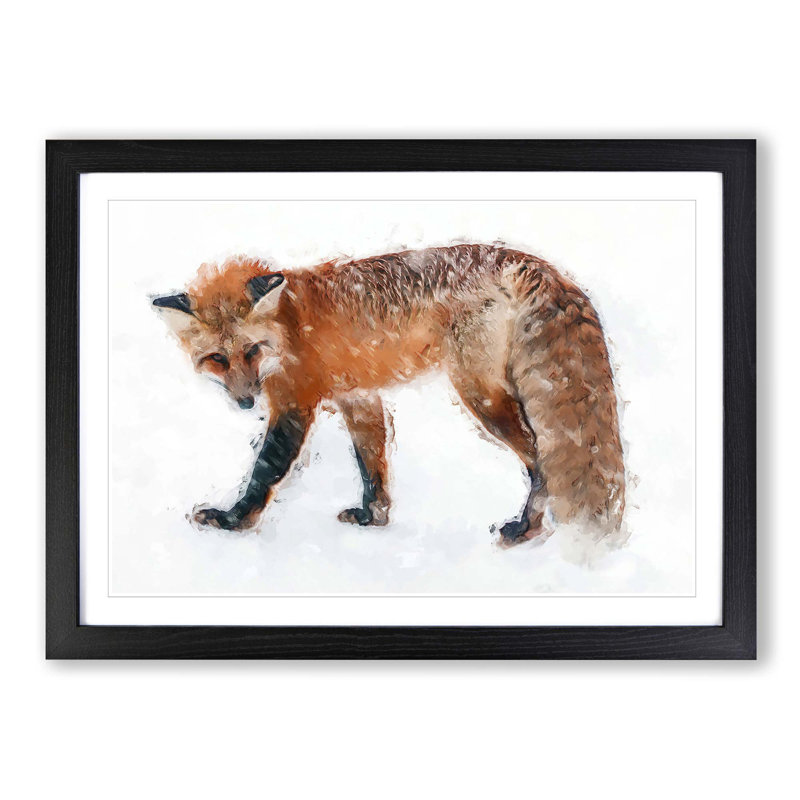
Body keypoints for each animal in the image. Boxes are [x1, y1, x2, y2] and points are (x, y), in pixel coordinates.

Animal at [152, 244, 625, 546]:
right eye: (217, 358)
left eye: (251, 351)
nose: (247, 402)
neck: (289, 325)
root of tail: (524, 261)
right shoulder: (359, 397)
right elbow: (372, 466)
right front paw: (373, 517)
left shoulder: (295, 403)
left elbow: (265, 470)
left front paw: (233, 521)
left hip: (481, 397)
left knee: (540, 457)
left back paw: (527, 529)